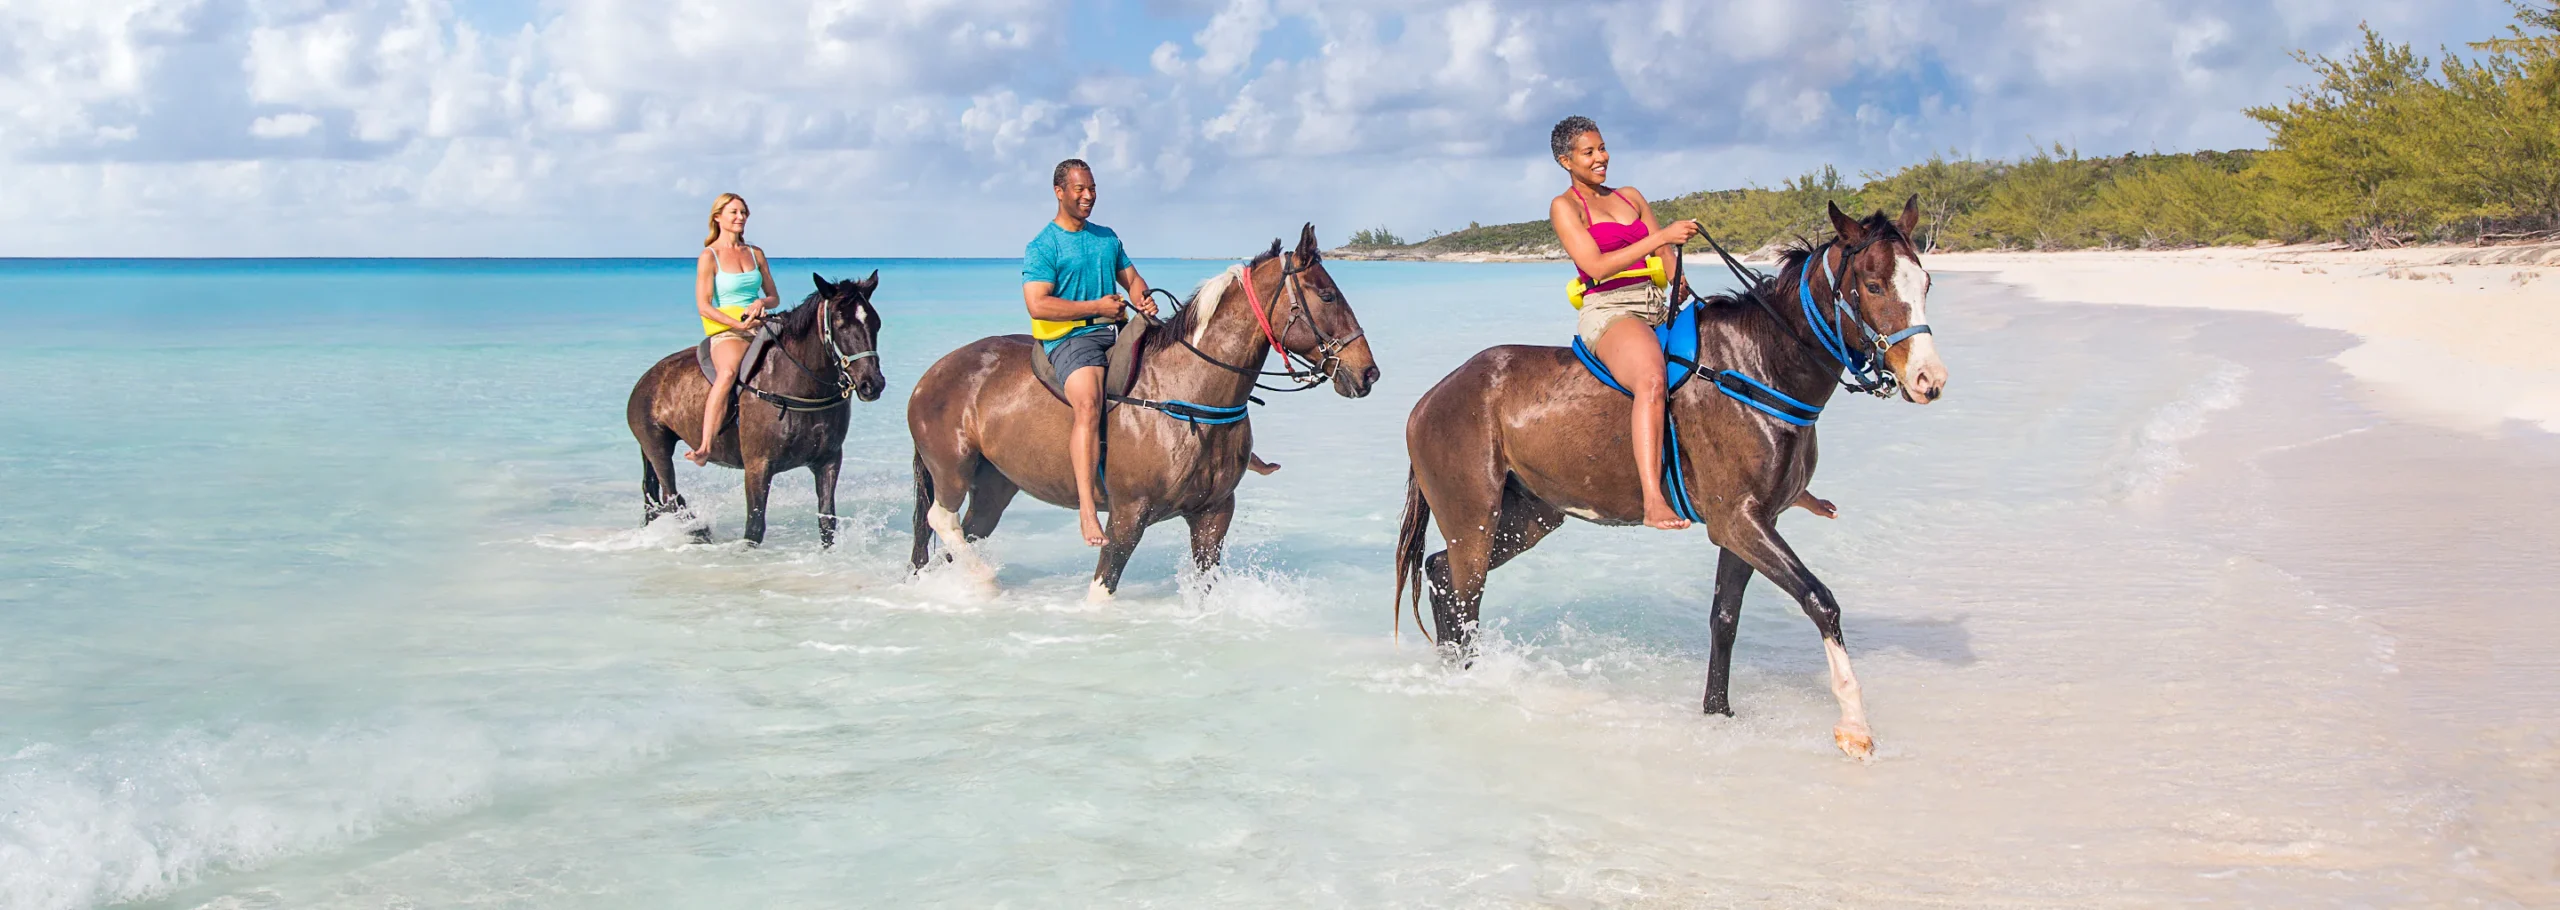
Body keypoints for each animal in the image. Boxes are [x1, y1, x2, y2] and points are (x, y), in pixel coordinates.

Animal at [629, 273, 890, 548]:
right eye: (840, 324)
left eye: (876, 322)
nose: (872, 384)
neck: (799, 387)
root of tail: (646, 380)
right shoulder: (758, 467)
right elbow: (754, 529)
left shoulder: (828, 461)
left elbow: (827, 523)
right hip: (657, 447)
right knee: (672, 499)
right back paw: (700, 531)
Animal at [906, 225, 1382, 602]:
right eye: (1327, 295)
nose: (1368, 372)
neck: (1188, 397)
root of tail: (930, 376)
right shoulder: (1126, 517)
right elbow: (1101, 593)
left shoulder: (1213, 515)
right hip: (953, 468)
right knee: (941, 518)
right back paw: (985, 582)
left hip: (996, 482)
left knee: (966, 533)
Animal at [1392, 201, 1945, 763]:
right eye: (1872, 285)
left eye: (1925, 282)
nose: (1929, 380)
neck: (1759, 367)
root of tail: (1429, 399)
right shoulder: (1739, 522)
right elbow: (1820, 601)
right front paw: (1854, 726)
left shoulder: (1749, 525)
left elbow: (1725, 619)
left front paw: (1717, 713)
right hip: (1475, 524)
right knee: (1464, 594)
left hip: (1529, 518)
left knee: (1441, 575)